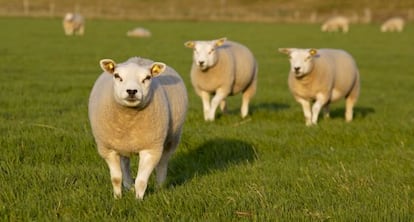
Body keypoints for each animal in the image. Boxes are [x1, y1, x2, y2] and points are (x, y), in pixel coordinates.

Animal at [90, 56, 189, 199]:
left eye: (147, 77)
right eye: (117, 75)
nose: (132, 91)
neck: (129, 121)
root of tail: (139, 58)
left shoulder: (150, 149)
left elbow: (141, 181)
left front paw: (138, 200)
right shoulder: (108, 149)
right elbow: (116, 178)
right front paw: (117, 198)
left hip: (172, 139)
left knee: (162, 163)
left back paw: (159, 187)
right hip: (122, 145)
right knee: (125, 163)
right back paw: (128, 186)